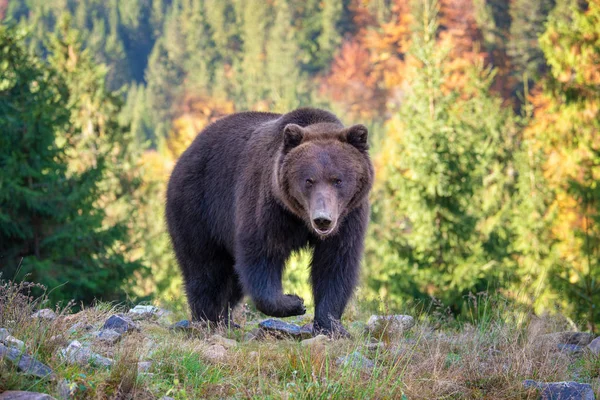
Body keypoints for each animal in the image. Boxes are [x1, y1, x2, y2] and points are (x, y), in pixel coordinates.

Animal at [166, 108, 372, 336]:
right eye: (309, 180)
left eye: (338, 180)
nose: (322, 220)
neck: (299, 218)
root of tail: (188, 151)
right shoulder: (268, 205)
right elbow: (261, 254)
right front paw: (294, 302)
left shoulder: (348, 219)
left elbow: (335, 265)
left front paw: (331, 326)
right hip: (198, 206)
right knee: (204, 267)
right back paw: (207, 319)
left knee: (230, 277)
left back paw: (225, 319)